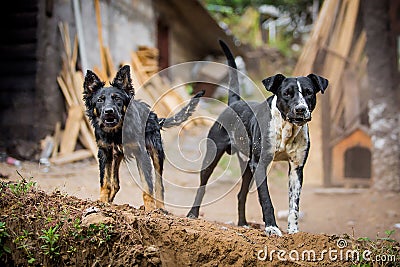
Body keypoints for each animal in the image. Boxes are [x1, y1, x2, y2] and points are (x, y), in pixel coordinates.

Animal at [83, 65, 205, 211]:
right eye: (100, 100)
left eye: (117, 99)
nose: (109, 111)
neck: (116, 132)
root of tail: (154, 116)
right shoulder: (104, 153)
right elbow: (105, 181)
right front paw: (102, 202)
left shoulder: (142, 154)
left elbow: (147, 186)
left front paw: (150, 209)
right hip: (116, 156)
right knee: (115, 183)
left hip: (157, 152)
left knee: (159, 184)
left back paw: (161, 208)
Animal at [188, 40, 328, 237]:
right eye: (287, 93)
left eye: (309, 92)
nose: (301, 109)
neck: (286, 128)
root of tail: (234, 102)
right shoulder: (260, 164)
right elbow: (266, 199)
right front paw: (271, 228)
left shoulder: (296, 168)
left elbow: (294, 204)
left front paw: (293, 231)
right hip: (213, 157)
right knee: (202, 187)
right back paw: (192, 214)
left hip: (248, 166)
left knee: (241, 194)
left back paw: (243, 223)